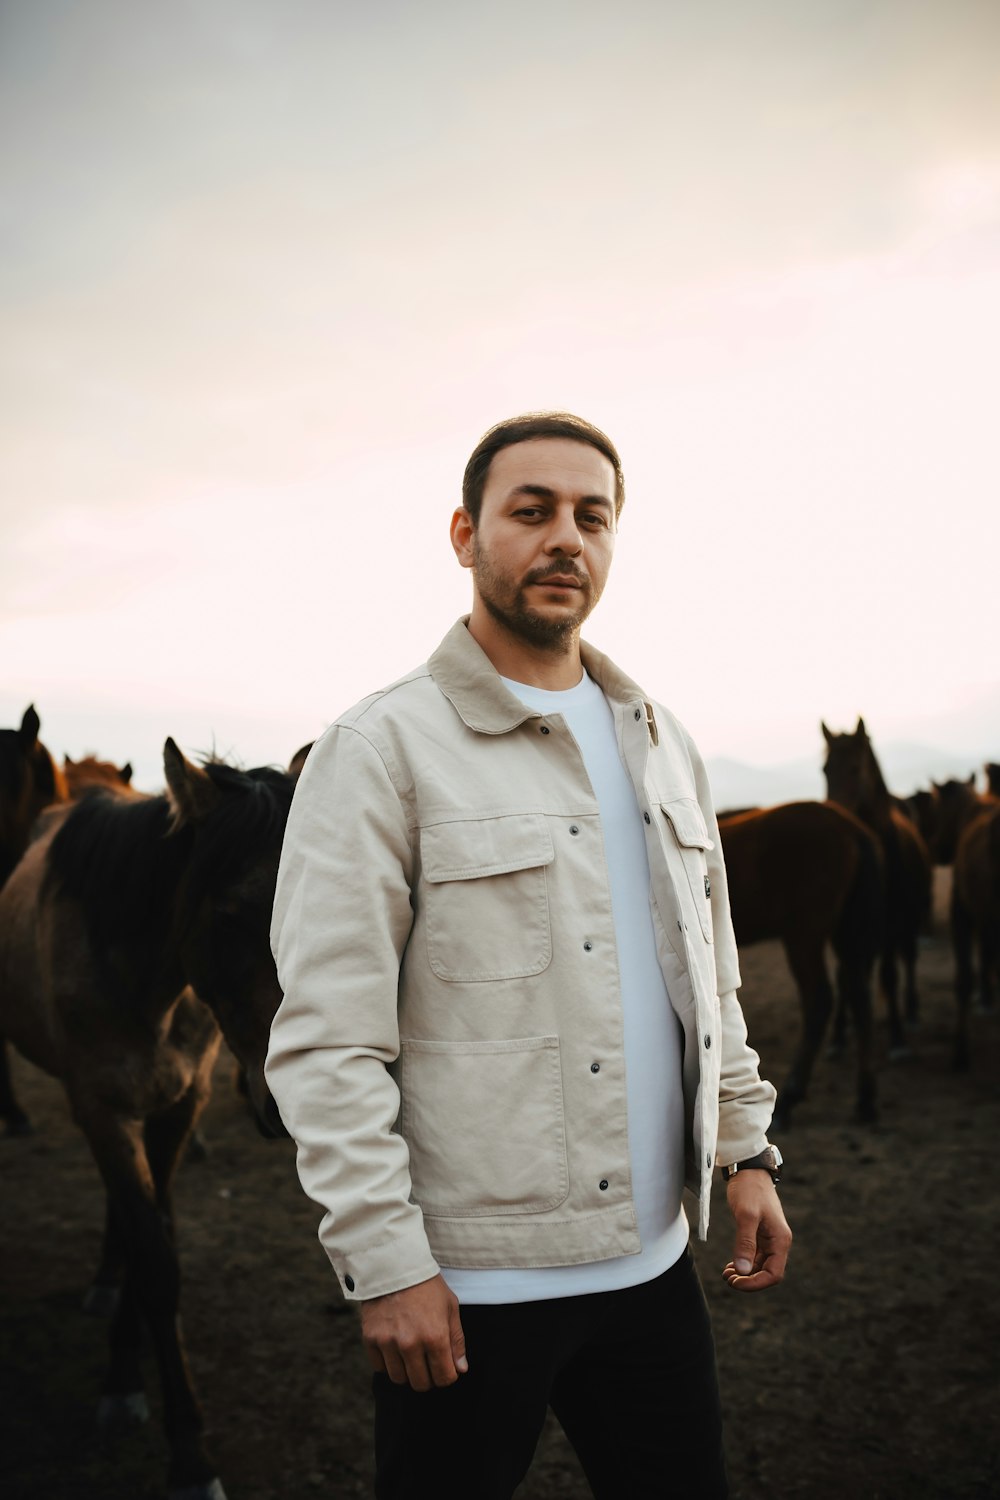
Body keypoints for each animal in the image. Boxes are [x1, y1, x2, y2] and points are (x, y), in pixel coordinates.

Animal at [0, 741, 295, 1500]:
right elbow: (154, 1261)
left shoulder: (176, 1109)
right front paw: (186, 1452)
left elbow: (155, 1240)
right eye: (230, 914)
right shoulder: (103, 1109)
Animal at [719, 804, 881, 1122]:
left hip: (803, 936)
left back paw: (789, 1098)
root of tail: (850, 828)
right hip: (846, 935)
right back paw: (865, 1099)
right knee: (860, 1000)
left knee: (819, 1002)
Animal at [821, 717, 929, 1056]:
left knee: (907, 958)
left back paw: (911, 1013)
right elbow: (843, 977)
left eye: (856, 768)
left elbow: (890, 975)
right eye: (825, 769)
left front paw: (896, 1037)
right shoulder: (841, 930)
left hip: (908, 921)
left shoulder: (892, 924)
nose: (832, 816)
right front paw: (838, 1035)